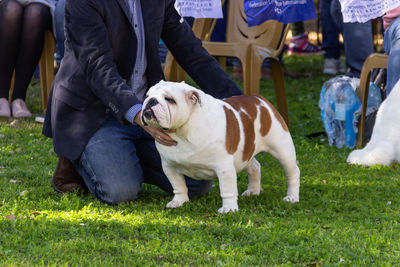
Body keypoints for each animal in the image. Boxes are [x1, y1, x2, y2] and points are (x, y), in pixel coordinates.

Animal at [141, 80, 300, 215]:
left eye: (169, 99)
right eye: (147, 95)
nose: (151, 101)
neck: (181, 131)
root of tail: (260, 99)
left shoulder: (224, 167)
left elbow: (227, 190)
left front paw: (229, 209)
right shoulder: (170, 167)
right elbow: (178, 186)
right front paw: (179, 202)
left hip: (282, 150)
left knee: (293, 173)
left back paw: (291, 197)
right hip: (245, 152)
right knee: (255, 167)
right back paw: (252, 191)